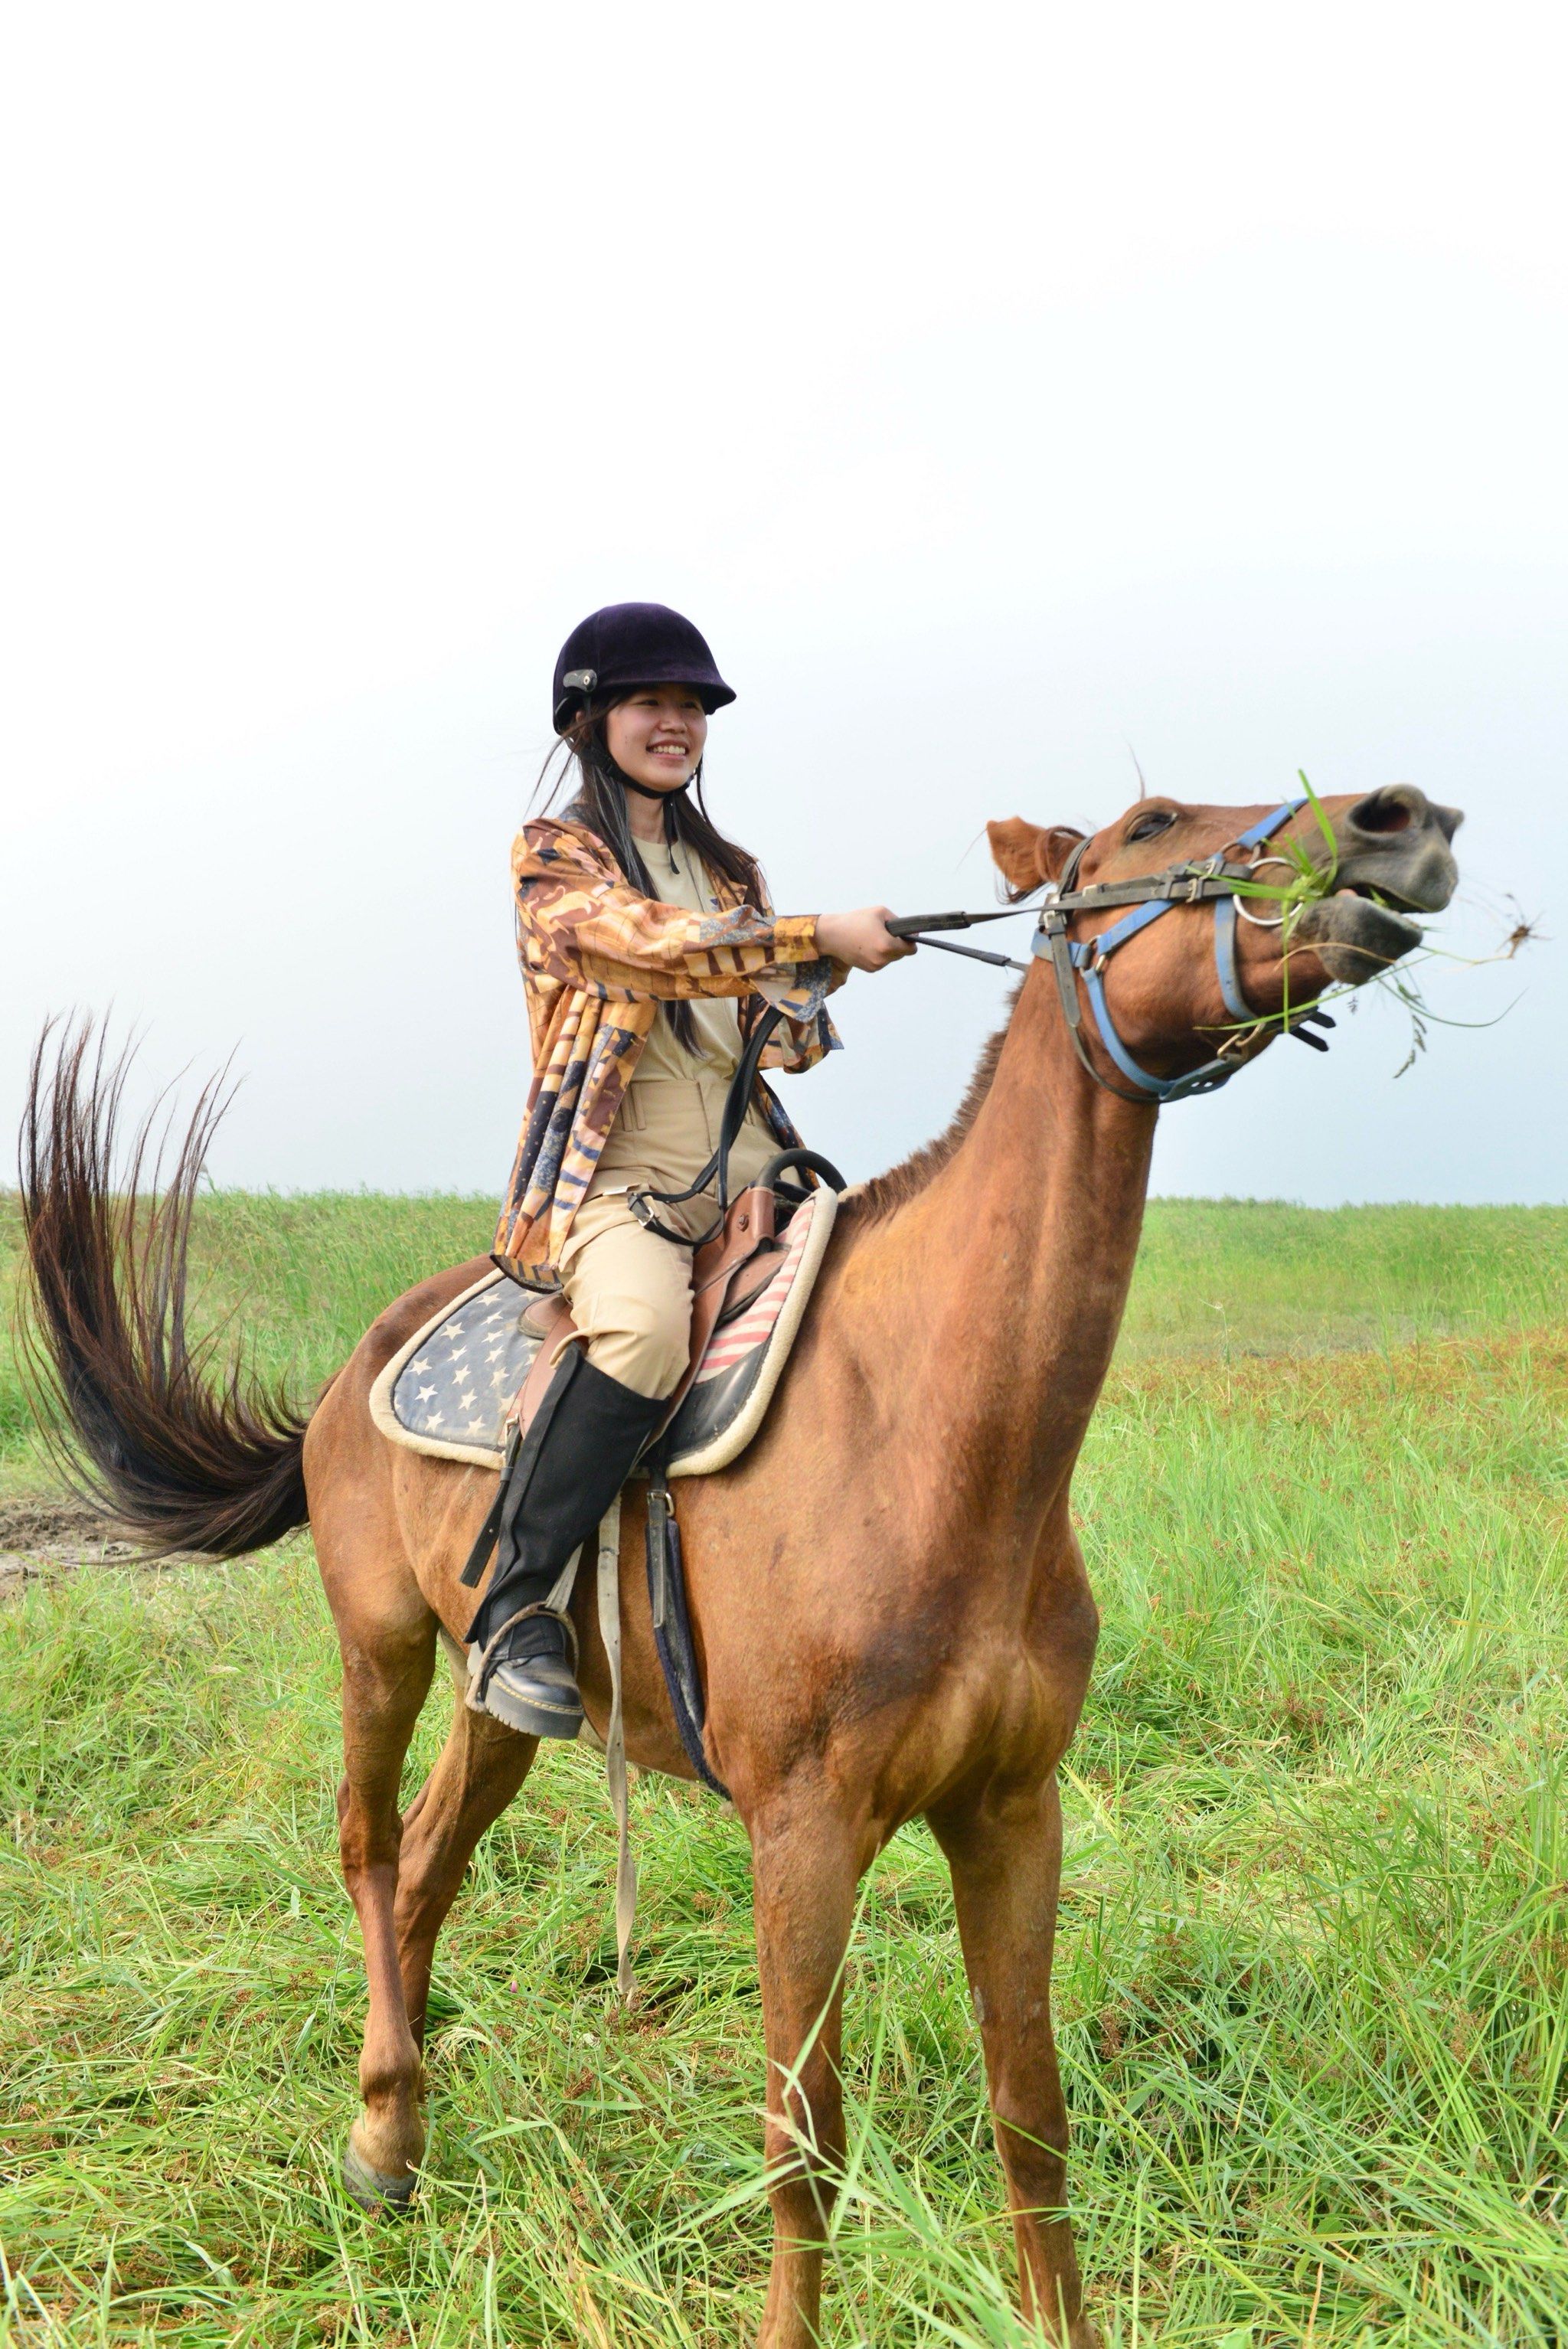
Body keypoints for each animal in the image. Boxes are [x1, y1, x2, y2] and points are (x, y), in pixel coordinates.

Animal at [20, 783, 1461, 2348]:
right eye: (1147, 824)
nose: (1393, 822)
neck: (939, 1436)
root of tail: (353, 1369)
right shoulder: (805, 1829)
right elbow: (802, 2139)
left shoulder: (1013, 1812)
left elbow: (1030, 2111)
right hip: (380, 1648)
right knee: (366, 1847)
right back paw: (379, 2131)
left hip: (499, 1695)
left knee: (427, 1870)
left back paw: (399, 2134)